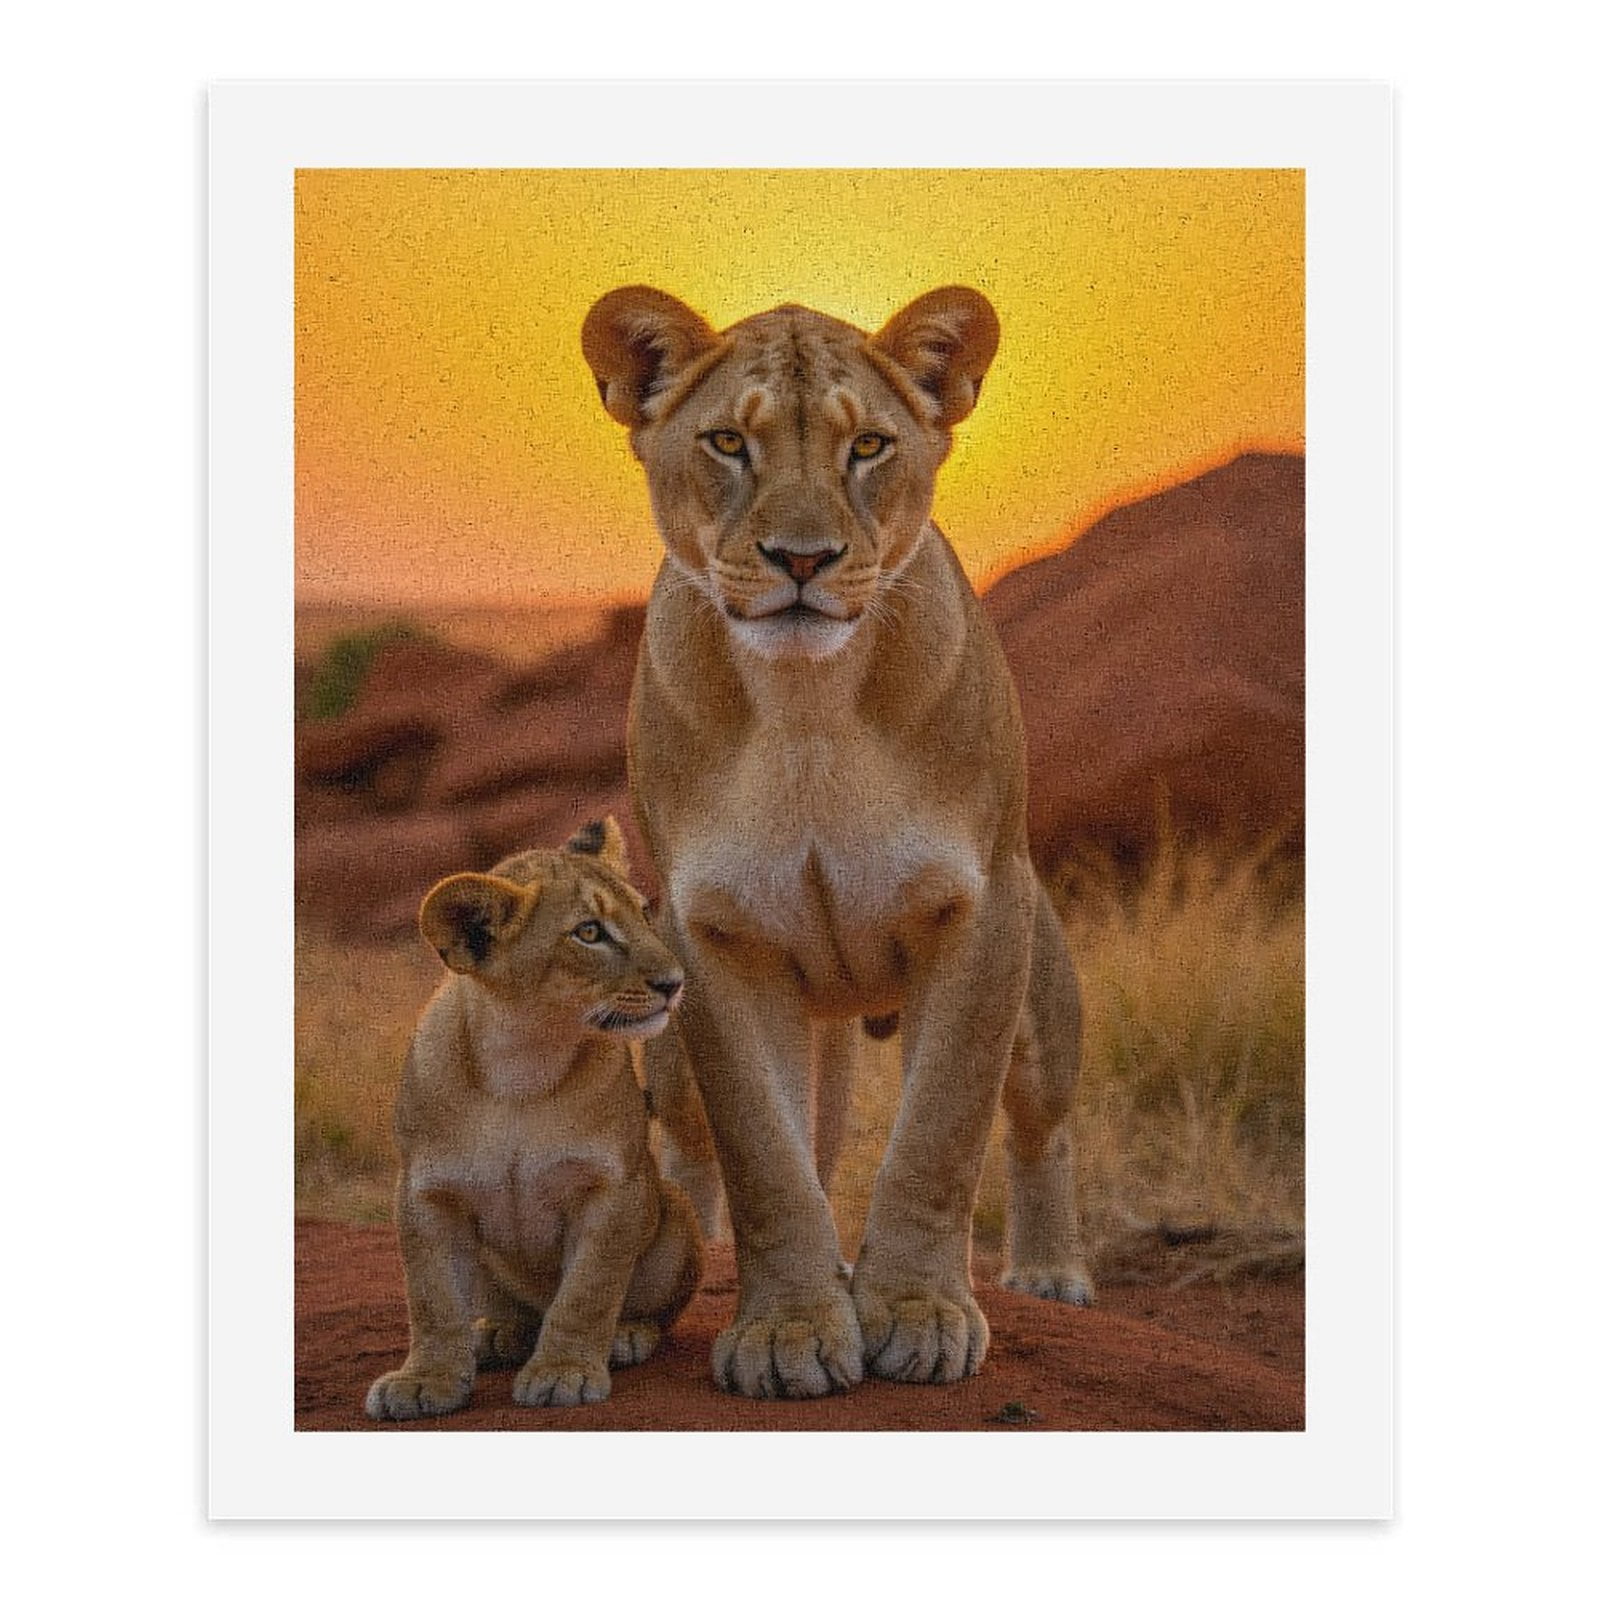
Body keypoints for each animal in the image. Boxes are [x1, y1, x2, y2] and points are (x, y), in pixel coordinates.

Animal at [364, 817, 704, 1420]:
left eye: (645, 914)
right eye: (589, 933)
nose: (674, 982)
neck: (523, 1062)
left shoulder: (614, 1188)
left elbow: (587, 1293)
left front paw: (564, 1370)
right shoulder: (426, 1193)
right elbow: (431, 1299)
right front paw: (424, 1379)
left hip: (672, 1210)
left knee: (643, 1309)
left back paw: (626, 1335)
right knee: (515, 1313)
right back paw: (497, 1334)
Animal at [581, 285, 1094, 1400]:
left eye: (868, 446)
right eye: (729, 441)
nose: (803, 559)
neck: (809, 704)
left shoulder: (981, 909)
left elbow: (940, 1134)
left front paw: (921, 1315)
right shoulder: (711, 936)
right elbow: (765, 1161)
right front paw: (788, 1329)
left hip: (1043, 999)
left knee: (1040, 1131)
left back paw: (1048, 1271)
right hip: (696, 1036)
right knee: (717, 1150)